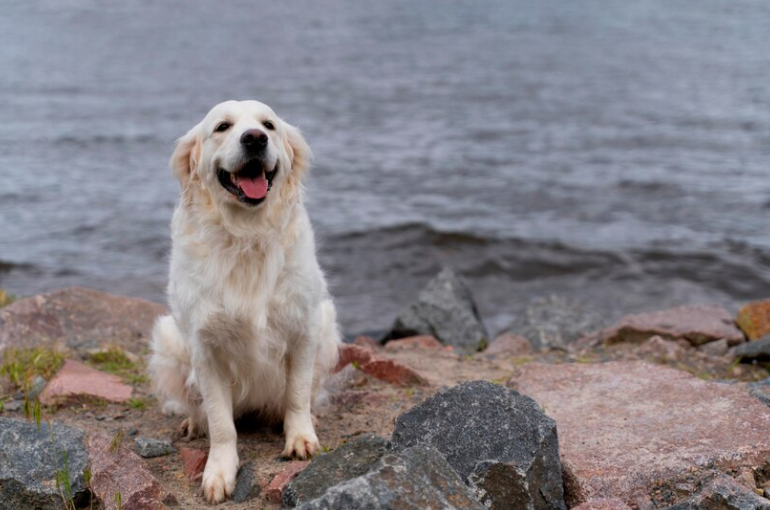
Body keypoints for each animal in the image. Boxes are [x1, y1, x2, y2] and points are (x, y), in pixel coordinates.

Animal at [149, 99, 340, 502]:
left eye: (268, 125)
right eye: (222, 127)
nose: (254, 139)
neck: (246, 236)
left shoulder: (304, 328)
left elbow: (297, 393)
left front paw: (300, 437)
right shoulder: (205, 349)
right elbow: (222, 421)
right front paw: (219, 471)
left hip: (328, 324)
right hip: (167, 337)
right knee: (198, 407)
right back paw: (194, 423)